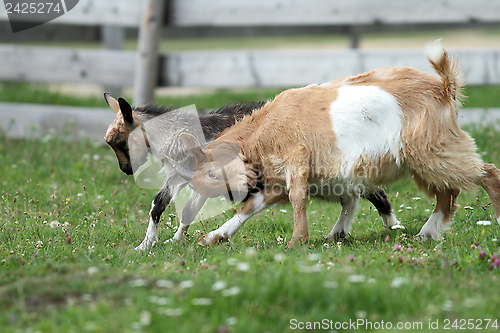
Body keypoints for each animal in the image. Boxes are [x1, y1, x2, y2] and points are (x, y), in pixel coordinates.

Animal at [172, 40, 500, 246]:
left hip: (433, 151)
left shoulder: (296, 160)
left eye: (212, 173)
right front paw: (214, 237)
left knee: (487, 173)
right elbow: (250, 208)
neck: (263, 130)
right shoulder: (275, 181)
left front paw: (297, 241)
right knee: (448, 193)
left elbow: (298, 199)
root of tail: (443, 88)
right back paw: (427, 233)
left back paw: (493, 219)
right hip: (426, 159)